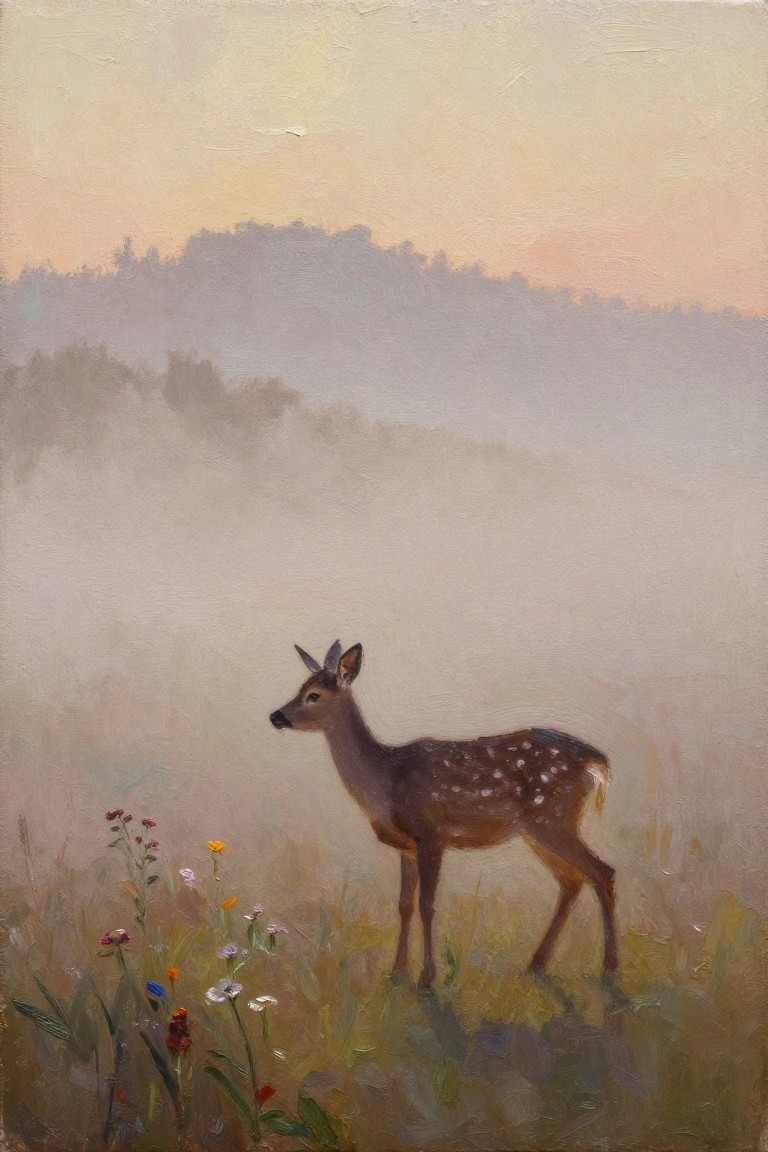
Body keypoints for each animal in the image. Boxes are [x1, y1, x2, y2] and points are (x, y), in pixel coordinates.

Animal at [270, 641, 618, 990]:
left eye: (314, 695)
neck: (386, 781)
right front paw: (396, 971)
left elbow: (427, 905)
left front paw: (427, 978)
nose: (276, 716)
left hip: (553, 817)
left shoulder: (430, 834)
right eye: (301, 688)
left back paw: (610, 969)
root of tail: (597, 761)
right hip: (540, 829)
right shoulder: (407, 846)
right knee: (572, 880)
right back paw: (536, 964)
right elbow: (404, 905)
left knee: (603, 872)